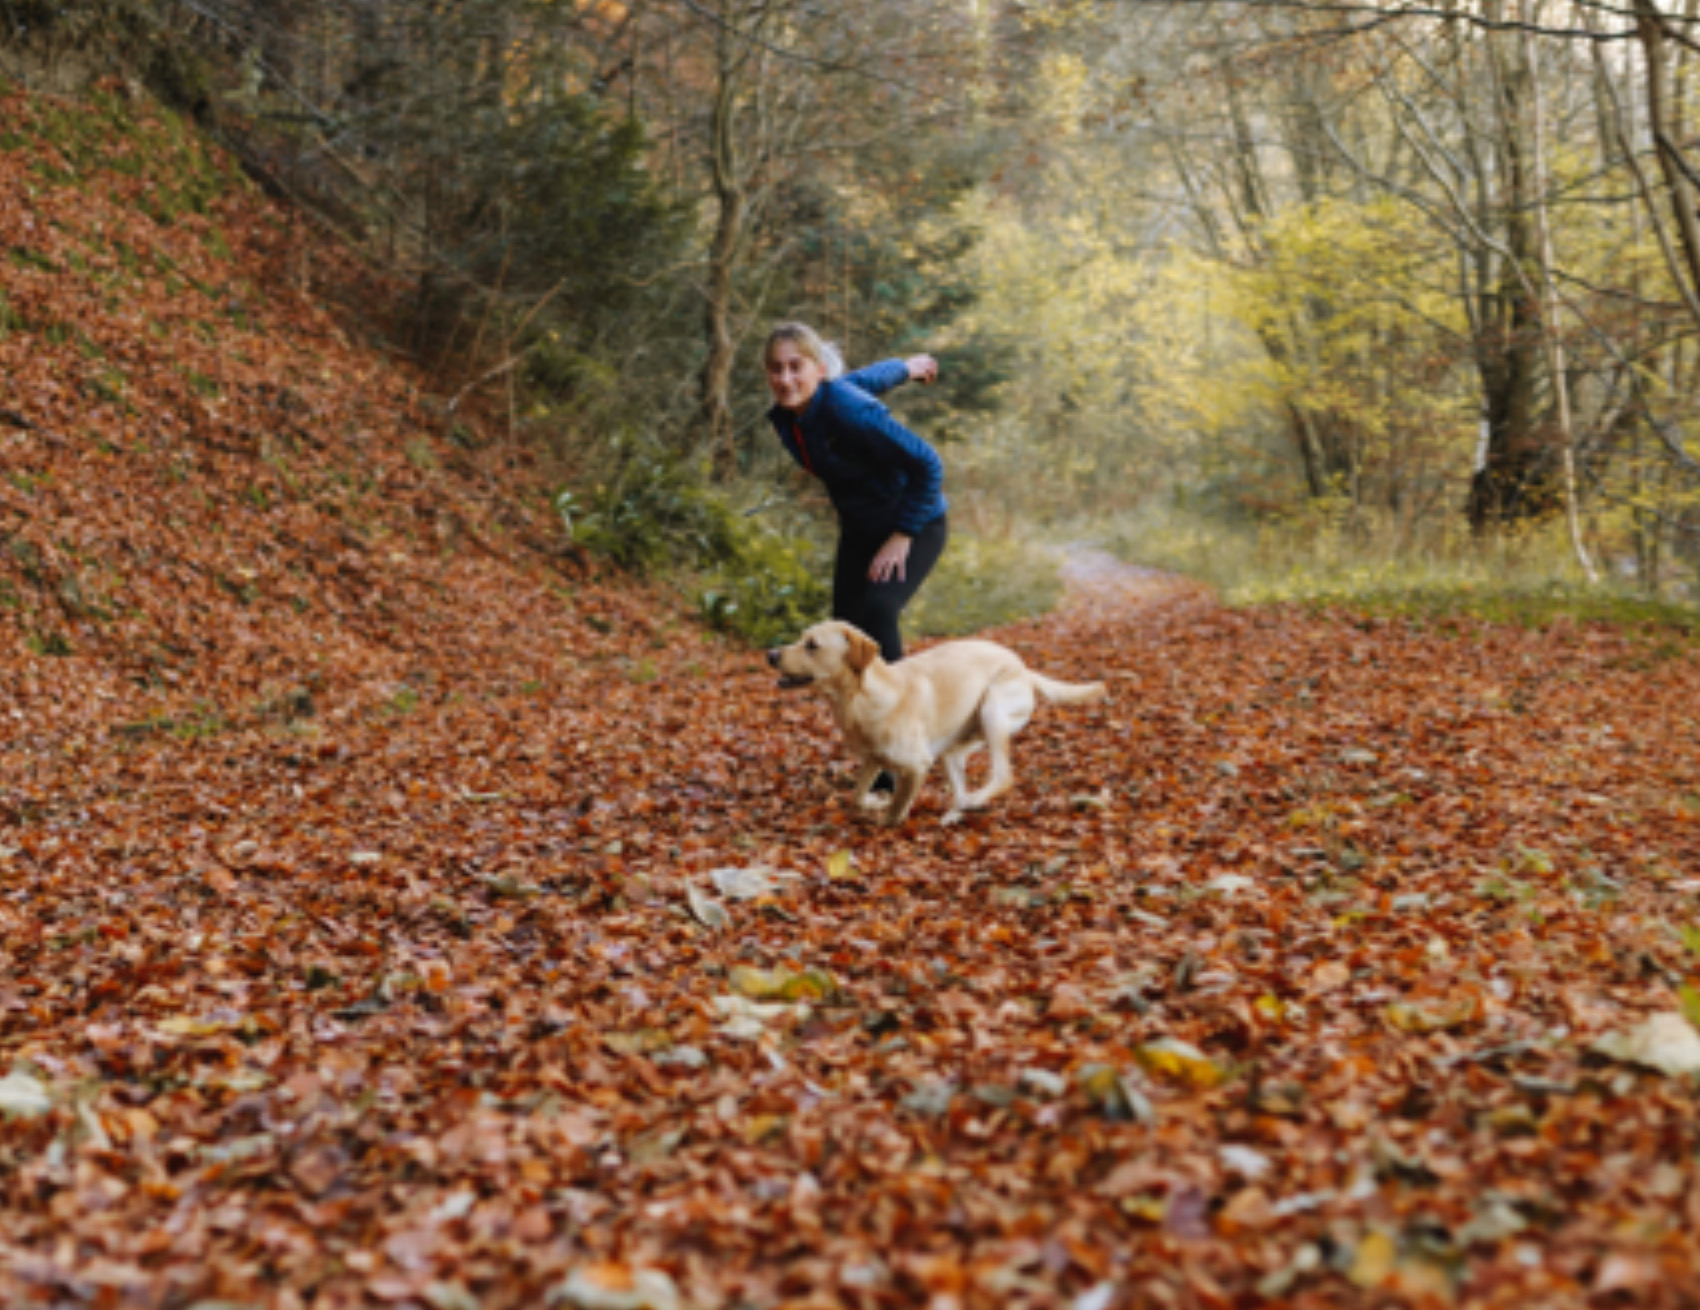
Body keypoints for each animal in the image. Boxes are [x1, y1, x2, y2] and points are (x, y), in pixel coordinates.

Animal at [765, 618, 1108, 825]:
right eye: (801, 638)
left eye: (812, 645)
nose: (770, 654)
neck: (861, 698)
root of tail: (1023, 667)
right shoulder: (873, 759)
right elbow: (858, 795)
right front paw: (874, 802)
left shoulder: (918, 765)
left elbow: (896, 810)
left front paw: (886, 823)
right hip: (952, 752)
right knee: (963, 787)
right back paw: (957, 812)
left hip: (993, 710)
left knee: (1003, 776)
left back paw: (973, 800)